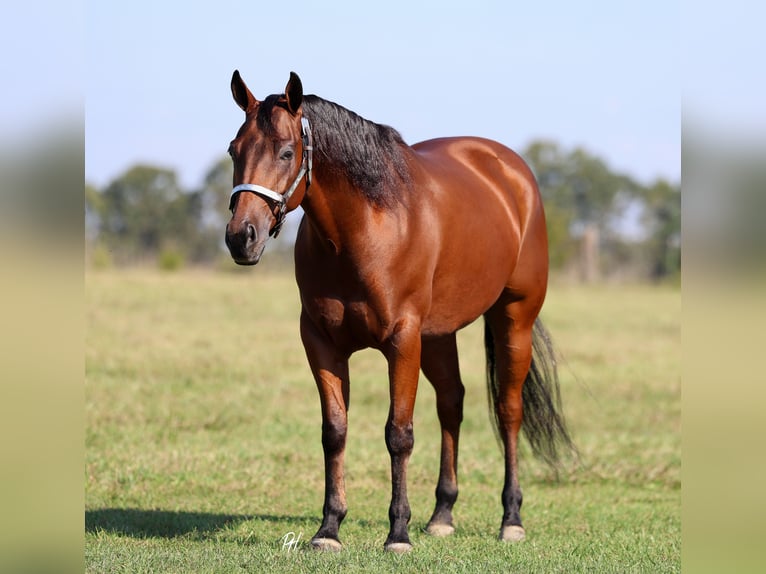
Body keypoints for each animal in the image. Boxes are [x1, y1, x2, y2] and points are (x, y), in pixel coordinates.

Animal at [224, 71, 574, 552]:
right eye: (233, 150)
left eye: (286, 152)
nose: (241, 237)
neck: (364, 229)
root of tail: (512, 173)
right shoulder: (321, 342)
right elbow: (335, 431)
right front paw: (329, 528)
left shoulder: (402, 340)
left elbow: (399, 434)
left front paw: (398, 532)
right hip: (439, 335)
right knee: (452, 404)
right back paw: (442, 514)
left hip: (513, 318)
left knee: (508, 410)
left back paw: (511, 519)